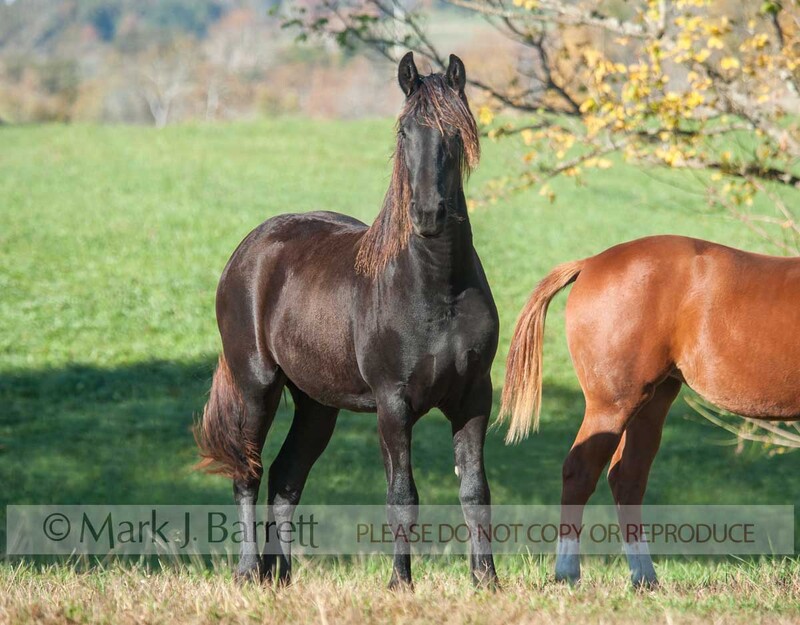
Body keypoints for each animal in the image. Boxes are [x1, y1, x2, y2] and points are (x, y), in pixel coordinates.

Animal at [195, 52, 499, 589]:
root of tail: (249, 249)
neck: (435, 288)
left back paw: (280, 575)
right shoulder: (393, 404)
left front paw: (487, 582)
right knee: (248, 472)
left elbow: (474, 492)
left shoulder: (473, 398)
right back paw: (249, 572)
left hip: (316, 405)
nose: (427, 213)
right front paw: (400, 583)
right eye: (403, 130)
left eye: (455, 131)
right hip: (256, 385)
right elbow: (402, 497)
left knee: (286, 478)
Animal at [499, 235, 800, 587]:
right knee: (580, 471)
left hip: (650, 404)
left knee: (627, 478)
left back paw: (644, 577)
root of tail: (590, 263)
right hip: (611, 406)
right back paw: (567, 572)